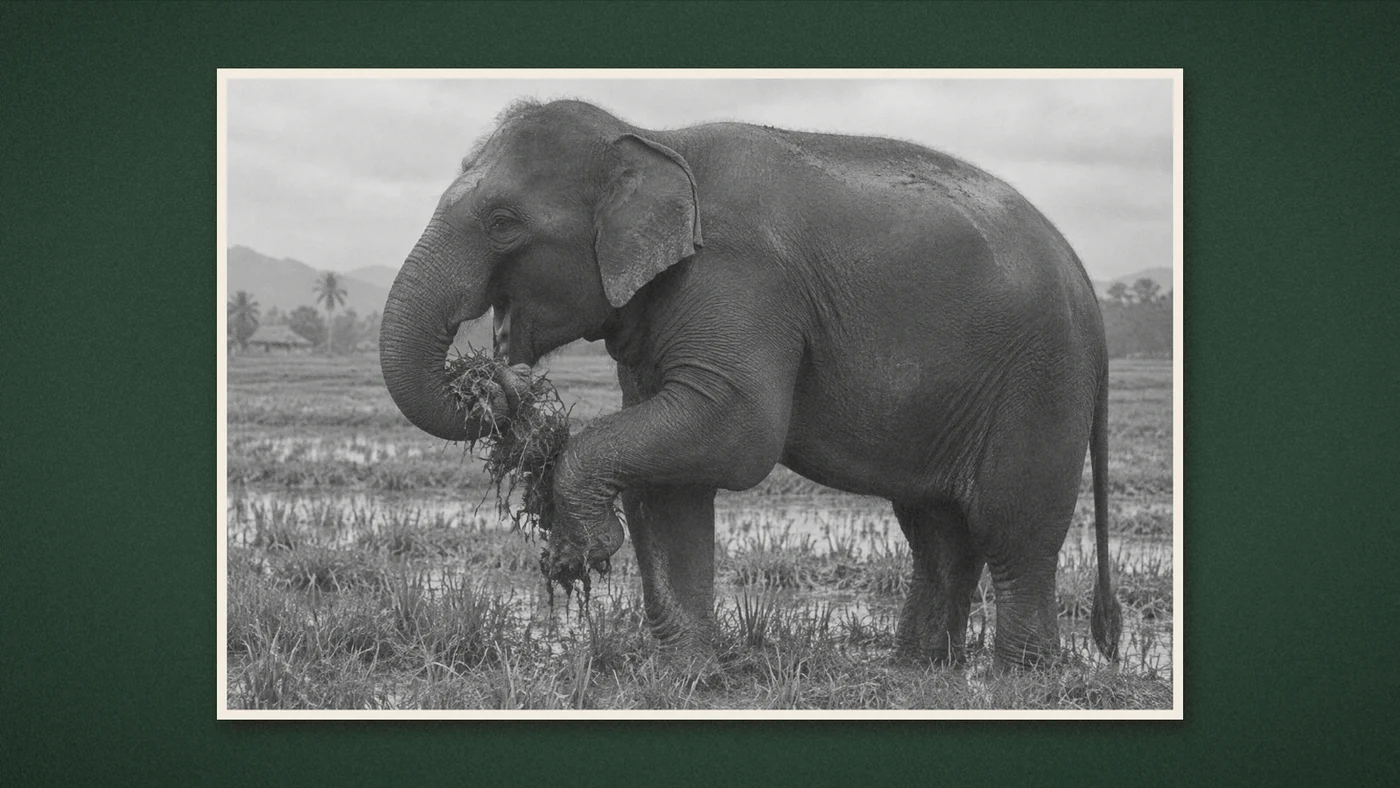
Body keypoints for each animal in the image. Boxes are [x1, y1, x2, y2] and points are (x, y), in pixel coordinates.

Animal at [380, 98, 1122, 671]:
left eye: (503, 223)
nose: (505, 382)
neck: (651, 136)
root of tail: (1087, 282)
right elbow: (670, 484)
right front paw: (686, 676)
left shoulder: (741, 279)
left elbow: (737, 431)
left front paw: (583, 551)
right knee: (937, 529)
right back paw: (920, 666)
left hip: (1040, 373)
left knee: (1012, 525)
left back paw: (1019, 676)